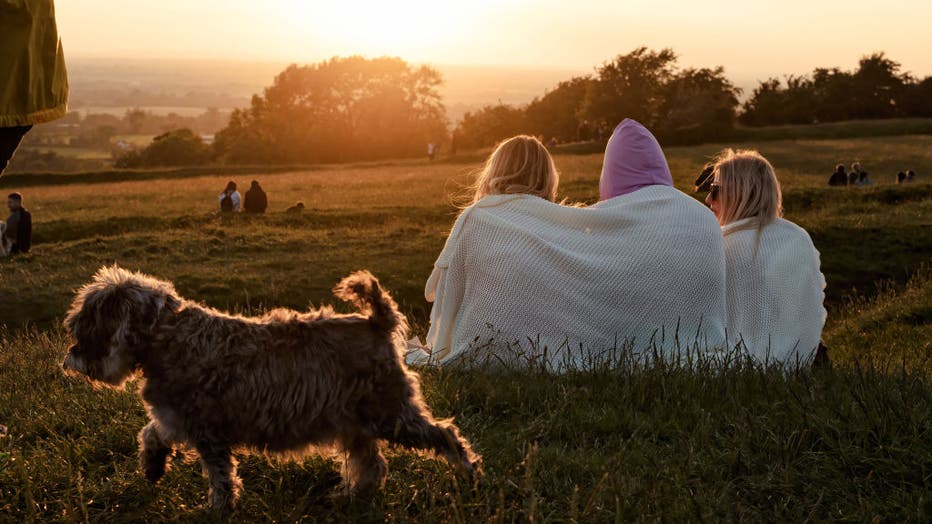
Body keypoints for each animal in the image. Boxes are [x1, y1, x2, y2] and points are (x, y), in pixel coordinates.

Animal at [61, 266, 480, 512]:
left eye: (88, 324)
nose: (71, 357)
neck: (166, 335)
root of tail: (377, 321)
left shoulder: (208, 432)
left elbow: (220, 478)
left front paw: (218, 509)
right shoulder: (177, 418)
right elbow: (151, 433)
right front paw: (152, 465)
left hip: (390, 415)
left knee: (445, 434)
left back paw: (469, 475)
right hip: (355, 423)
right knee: (372, 464)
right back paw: (349, 497)